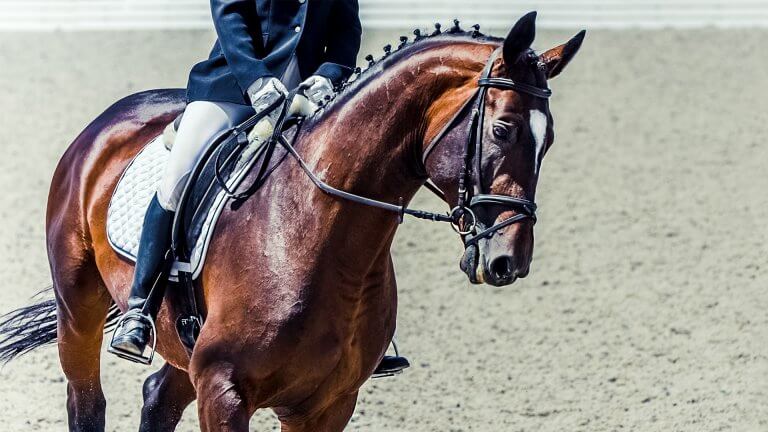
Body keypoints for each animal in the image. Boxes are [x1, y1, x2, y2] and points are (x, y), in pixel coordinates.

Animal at [0, 12, 584, 431]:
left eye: (550, 138)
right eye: (504, 129)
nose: (508, 260)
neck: (318, 236)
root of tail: (109, 120)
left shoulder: (326, 404)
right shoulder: (224, 391)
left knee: (158, 398)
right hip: (79, 308)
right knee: (86, 401)